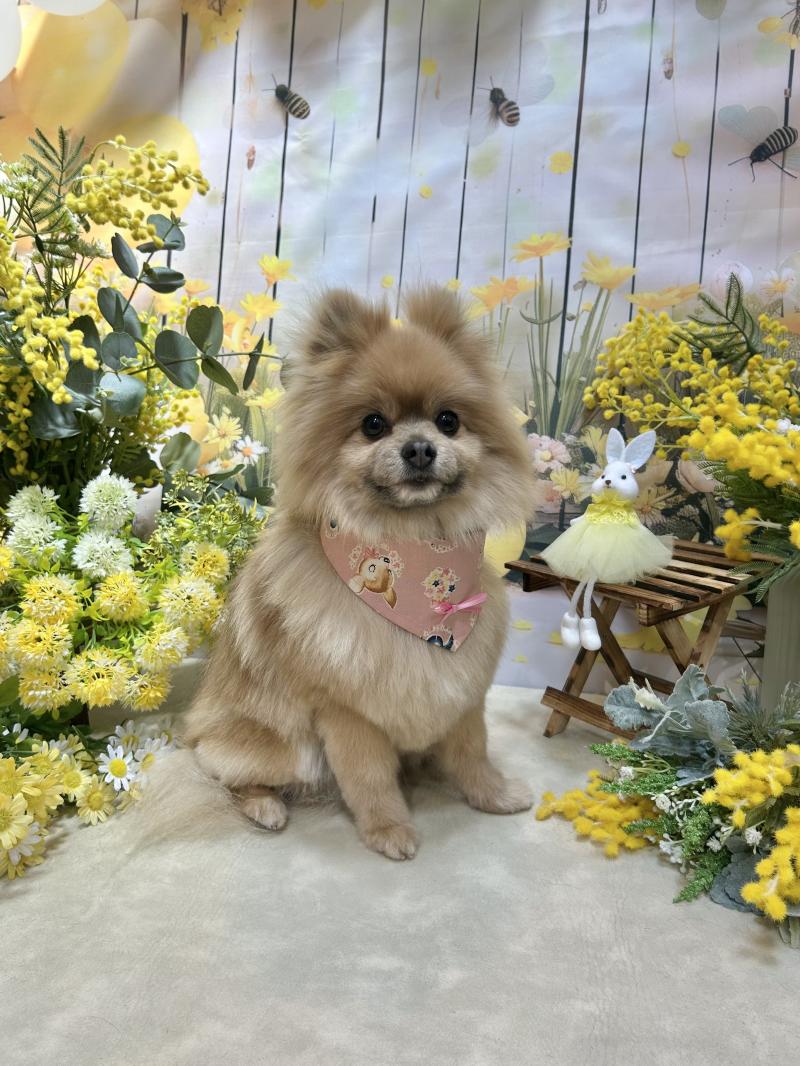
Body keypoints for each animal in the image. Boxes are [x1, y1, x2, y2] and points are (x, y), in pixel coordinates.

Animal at [183, 287, 535, 859]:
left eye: (448, 421)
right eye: (373, 424)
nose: (419, 448)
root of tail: (197, 723)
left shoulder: (461, 692)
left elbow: (472, 754)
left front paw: (494, 796)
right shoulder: (347, 715)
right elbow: (369, 778)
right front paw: (389, 829)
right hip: (280, 747)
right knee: (223, 775)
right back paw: (265, 806)